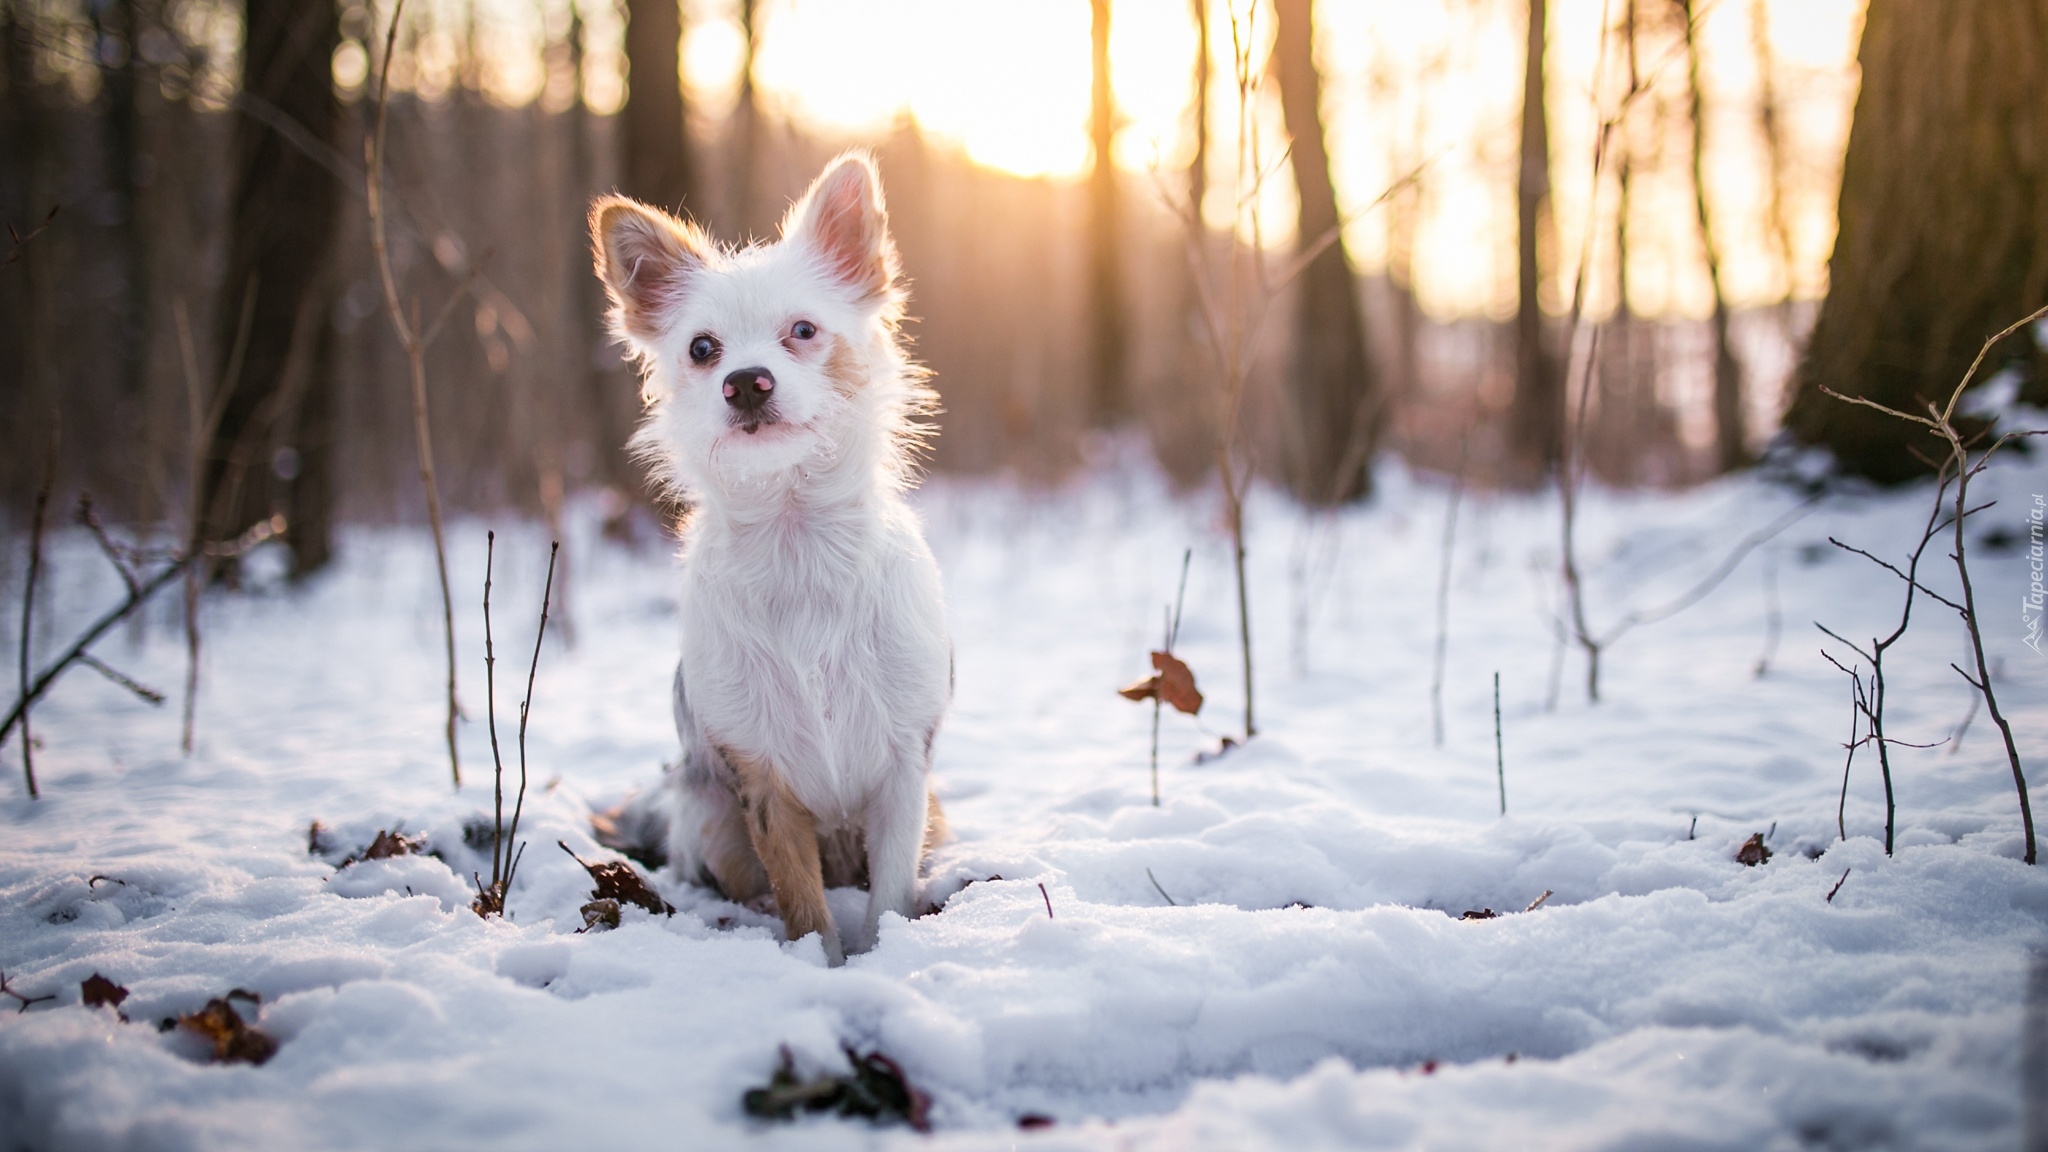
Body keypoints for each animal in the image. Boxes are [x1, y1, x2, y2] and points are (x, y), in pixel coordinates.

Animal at [589, 152, 946, 959]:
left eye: (803, 331)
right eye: (702, 349)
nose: (746, 382)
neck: (795, 532)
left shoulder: (904, 774)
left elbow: (889, 895)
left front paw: (884, 953)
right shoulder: (762, 785)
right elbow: (803, 904)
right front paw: (821, 962)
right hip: (713, 821)